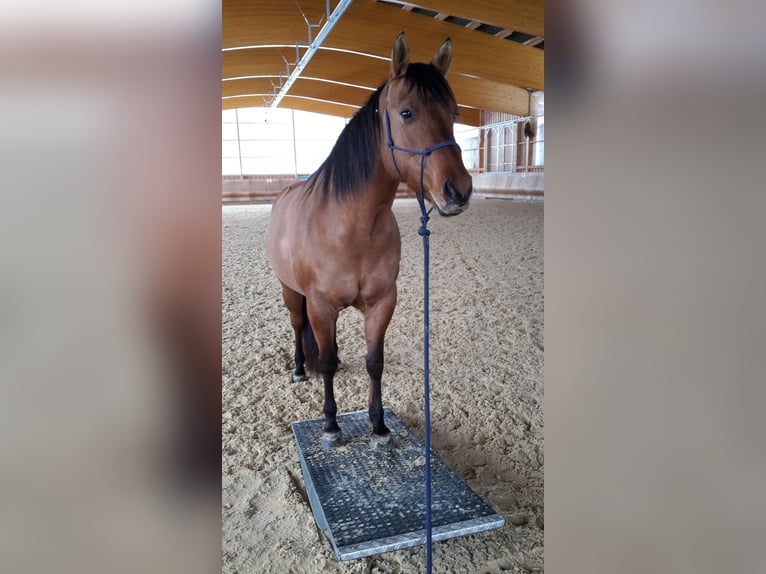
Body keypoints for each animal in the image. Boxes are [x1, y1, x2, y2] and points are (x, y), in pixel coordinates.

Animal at [268, 32, 472, 450]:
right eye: (407, 113)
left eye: (455, 113)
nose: (458, 191)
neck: (352, 230)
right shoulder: (321, 307)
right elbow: (327, 362)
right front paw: (331, 426)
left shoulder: (381, 304)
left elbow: (373, 362)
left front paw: (379, 427)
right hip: (291, 292)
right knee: (298, 328)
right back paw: (299, 369)